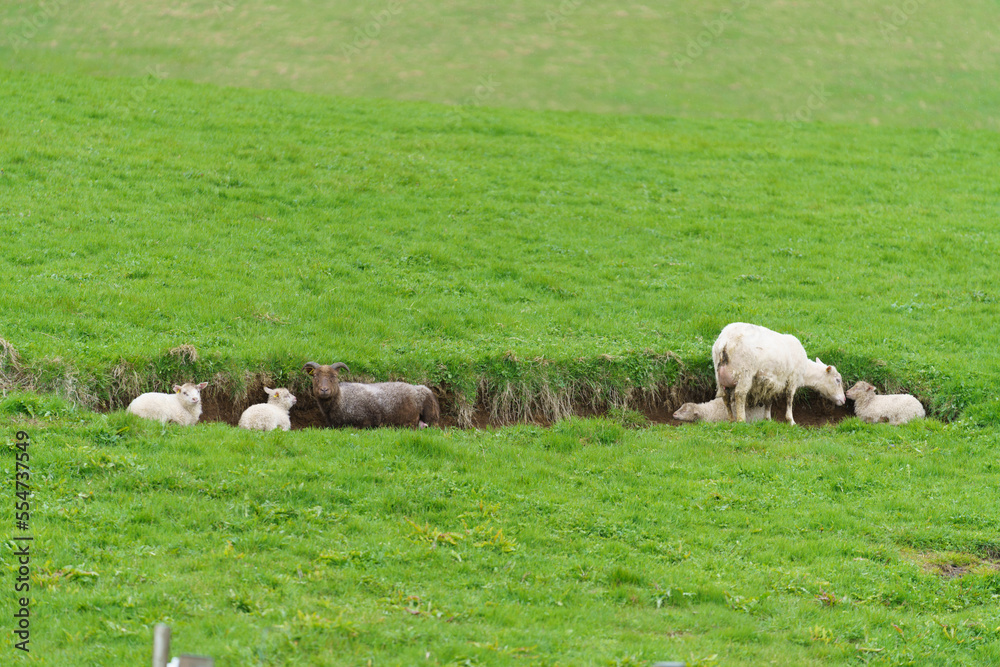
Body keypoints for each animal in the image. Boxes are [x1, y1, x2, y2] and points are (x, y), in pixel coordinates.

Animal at [303, 362, 440, 429]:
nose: (324, 390)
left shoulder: (365, 421)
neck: (342, 399)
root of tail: (420, 388)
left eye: (334, 376)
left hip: (430, 417)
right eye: (315, 376)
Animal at [712, 322, 846, 425]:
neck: (805, 372)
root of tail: (724, 342)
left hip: (719, 375)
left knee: (725, 397)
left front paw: (768, 419)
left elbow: (769, 400)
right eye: (837, 380)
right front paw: (791, 421)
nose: (844, 400)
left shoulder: (771, 382)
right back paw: (741, 420)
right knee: (740, 394)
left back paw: (731, 419)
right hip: (744, 371)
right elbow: (789, 399)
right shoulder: (792, 379)